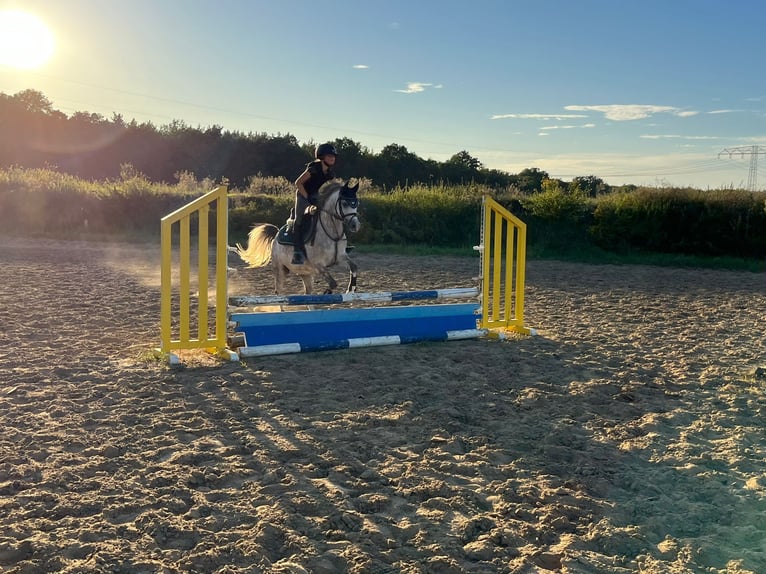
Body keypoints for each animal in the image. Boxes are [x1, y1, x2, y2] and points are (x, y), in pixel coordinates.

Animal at [232, 180, 361, 295]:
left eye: (356, 203)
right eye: (344, 203)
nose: (355, 225)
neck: (332, 234)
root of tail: (276, 235)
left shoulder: (340, 257)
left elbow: (354, 267)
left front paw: (351, 289)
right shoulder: (318, 264)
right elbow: (333, 283)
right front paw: (327, 292)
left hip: (305, 273)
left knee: (307, 293)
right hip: (280, 270)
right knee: (279, 292)